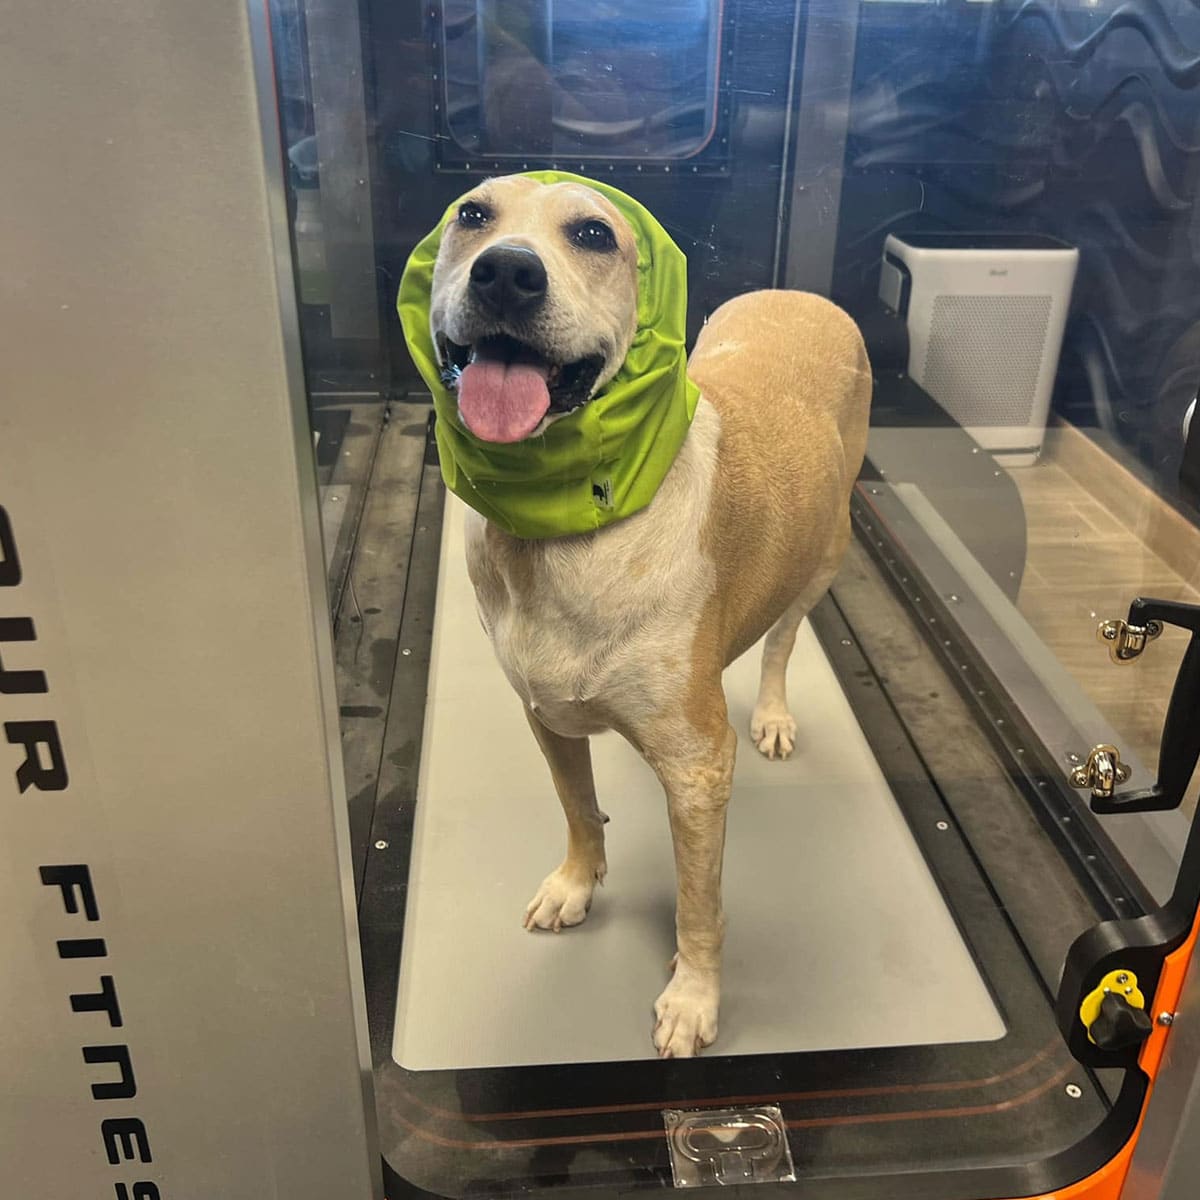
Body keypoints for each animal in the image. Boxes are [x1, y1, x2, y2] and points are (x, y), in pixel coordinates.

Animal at [427, 171, 868, 1060]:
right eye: (471, 215)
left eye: (595, 234)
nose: (506, 273)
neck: (565, 529)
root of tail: (803, 294)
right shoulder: (547, 716)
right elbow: (578, 811)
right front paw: (575, 884)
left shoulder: (699, 772)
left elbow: (700, 904)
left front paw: (694, 997)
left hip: (824, 557)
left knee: (781, 641)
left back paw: (771, 714)